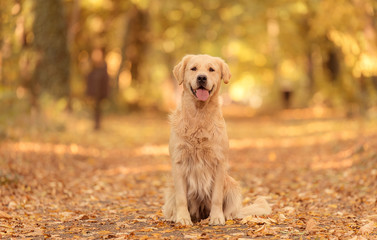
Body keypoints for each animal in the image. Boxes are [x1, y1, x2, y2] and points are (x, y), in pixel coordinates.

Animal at [162, 54, 270, 225]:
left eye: (211, 69)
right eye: (193, 68)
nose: (201, 77)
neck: (199, 115)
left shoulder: (219, 162)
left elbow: (217, 197)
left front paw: (217, 217)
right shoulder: (179, 161)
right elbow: (181, 199)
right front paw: (183, 218)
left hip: (232, 184)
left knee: (232, 211)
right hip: (171, 188)